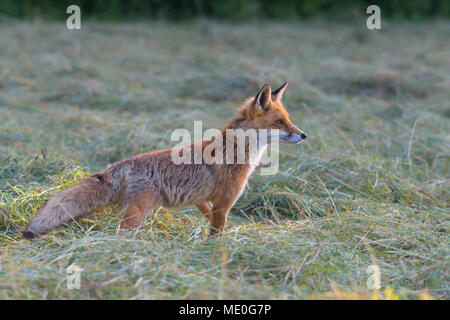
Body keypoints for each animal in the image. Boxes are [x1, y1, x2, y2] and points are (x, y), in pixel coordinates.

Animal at [22, 81, 308, 239]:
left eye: (288, 119)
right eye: (279, 122)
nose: (304, 135)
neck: (237, 150)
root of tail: (119, 165)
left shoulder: (203, 201)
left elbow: (209, 222)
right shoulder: (223, 205)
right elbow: (216, 235)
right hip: (136, 215)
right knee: (119, 236)